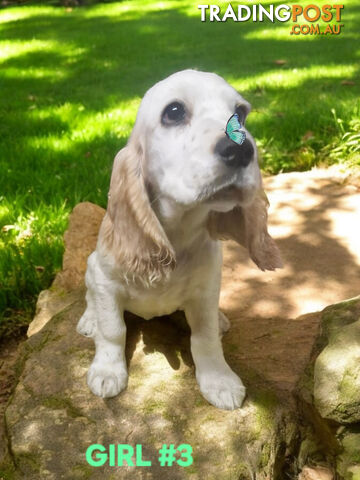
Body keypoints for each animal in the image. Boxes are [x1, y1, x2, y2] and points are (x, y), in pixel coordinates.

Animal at [77, 69, 282, 410]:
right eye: (173, 112)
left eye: (240, 113)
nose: (241, 149)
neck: (177, 234)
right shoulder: (105, 280)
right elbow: (113, 329)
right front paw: (107, 371)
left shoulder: (206, 289)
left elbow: (205, 338)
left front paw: (219, 381)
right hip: (91, 267)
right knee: (90, 299)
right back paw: (88, 319)